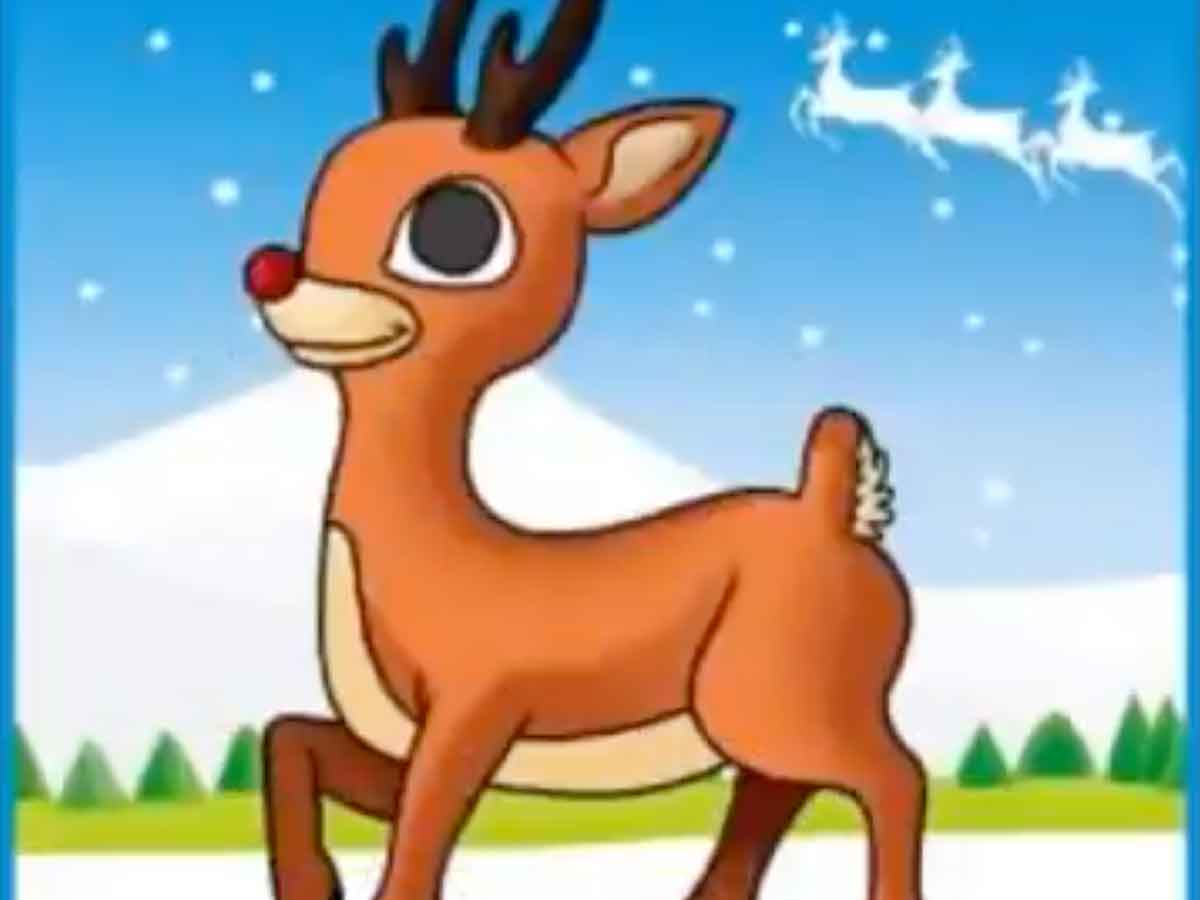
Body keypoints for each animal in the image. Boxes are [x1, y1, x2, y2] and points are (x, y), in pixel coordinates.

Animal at [242, 2, 926, 899]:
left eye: (455, 229)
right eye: (324, 180)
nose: (268, 274)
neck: (438, 553)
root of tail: (828, 509)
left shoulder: (472, 715)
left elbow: (417, 849)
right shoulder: (397, 745)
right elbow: (285, 737)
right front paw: (312, 882)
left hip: (778, 708)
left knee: (894, 778)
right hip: (758, 717)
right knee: (775, 794)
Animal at [791, 17, 947, 172]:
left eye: (833, 47)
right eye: (825, 43)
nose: (812, 56)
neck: (832, 83)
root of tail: (905, 96)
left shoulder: (833, 109)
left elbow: (810, 107)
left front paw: (829, 140)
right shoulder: (824, 103)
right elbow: (804, 96)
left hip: (901, 124)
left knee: (921, 137)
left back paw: (940, 163)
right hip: (900, 125)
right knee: (919, 137)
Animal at [920, 36, 1048, 198]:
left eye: (944, 64)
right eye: (937, 61)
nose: (929, 77)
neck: (945, 100)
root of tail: (1018, 115)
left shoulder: (939, 129)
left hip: (1010, 149)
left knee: (1032, 165)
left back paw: (1045, 193)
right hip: (1005, 150)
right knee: (1032, 156)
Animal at [1027, 59, 1185, 219]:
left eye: (1073, 89)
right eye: (1067, 87)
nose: (1054, 100)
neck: (1074, 124)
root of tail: (1144, 139)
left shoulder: (1076, 153)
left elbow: (1054, 156)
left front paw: (1069, 186)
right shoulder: (1069, 151)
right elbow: (1049, 148)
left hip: (1139, 169)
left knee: (1162, 184)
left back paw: (1180, 209)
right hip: (1138, 168)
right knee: (1164, 169)